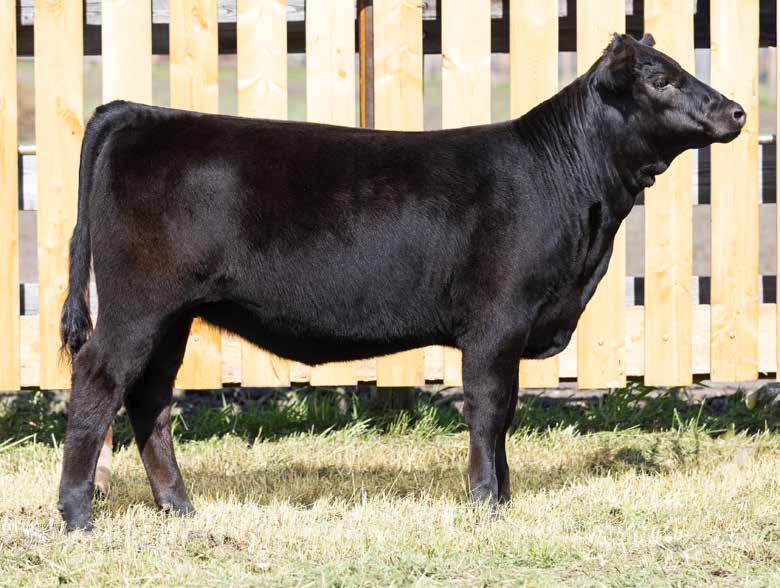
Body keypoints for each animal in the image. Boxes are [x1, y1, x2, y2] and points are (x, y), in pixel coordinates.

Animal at [57, 33, 745, 531]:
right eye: (661, 78)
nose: (736, 110)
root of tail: (138, 112)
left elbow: (505, 413)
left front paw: (504, 498)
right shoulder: (497, 320)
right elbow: (489, 408)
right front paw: (486, 503)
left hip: (172, 315)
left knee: (148, 398)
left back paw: (179, 508)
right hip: (138, 305)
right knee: (99, 379)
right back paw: (77, 513)